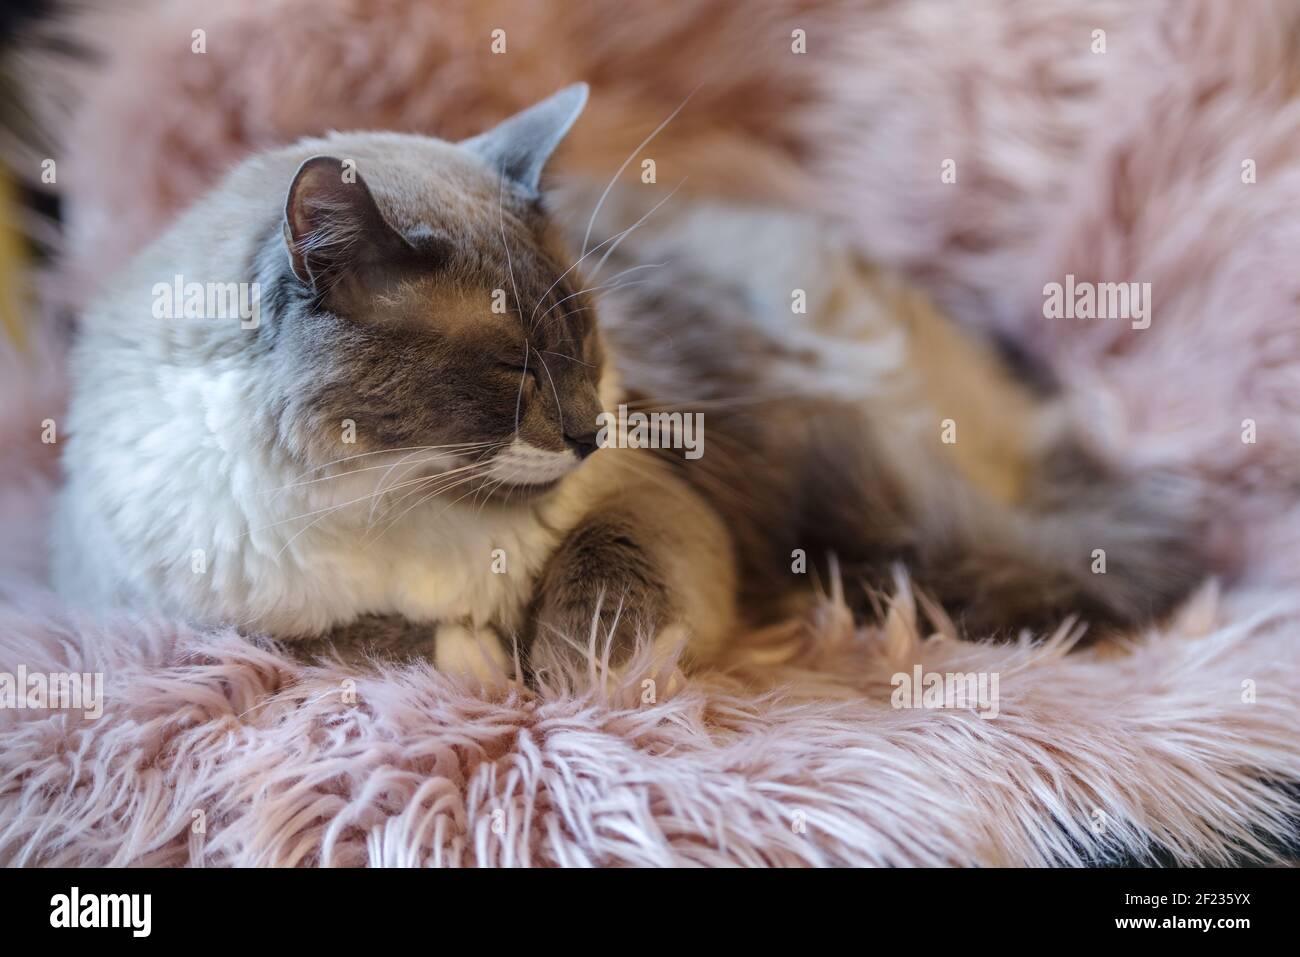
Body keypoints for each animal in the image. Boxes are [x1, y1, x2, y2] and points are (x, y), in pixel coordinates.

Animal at [48, 83, 743, 681]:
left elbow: (604, 562)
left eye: (586, 341)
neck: (387, 490)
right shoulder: (190, 622)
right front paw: (485, 663)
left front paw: (593, 673)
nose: (590, 436)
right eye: (512, 367)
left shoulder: (652, 496)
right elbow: (349, 638)